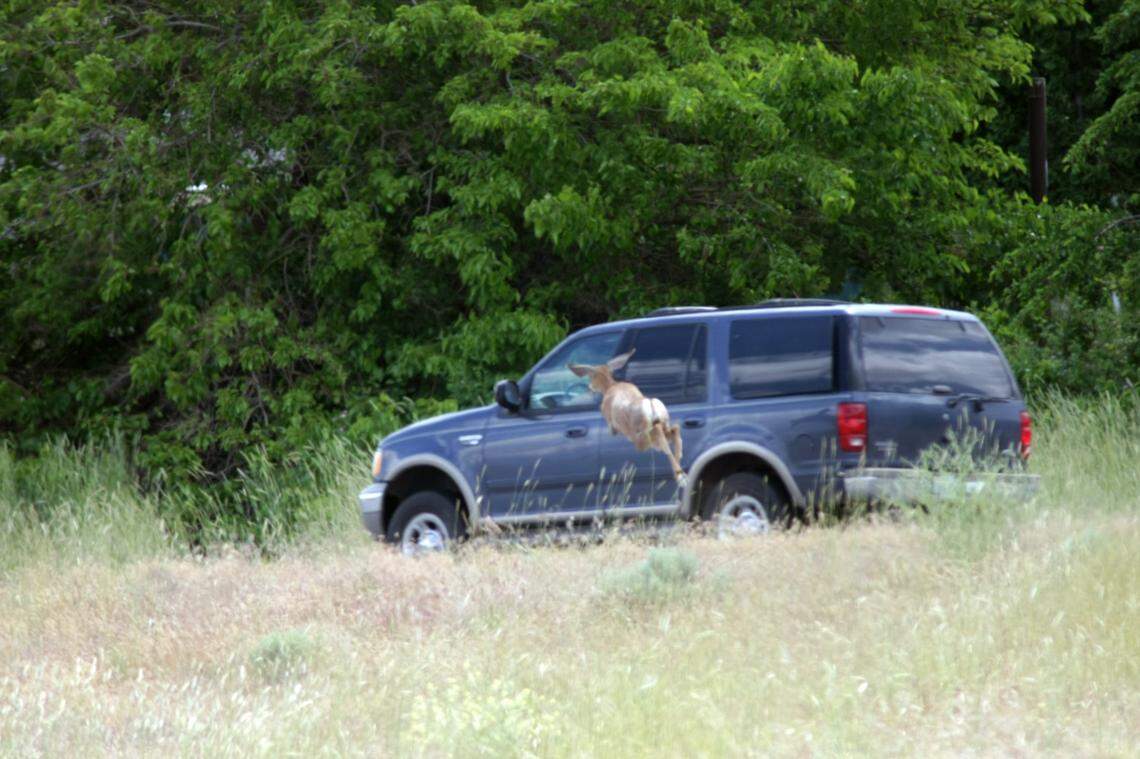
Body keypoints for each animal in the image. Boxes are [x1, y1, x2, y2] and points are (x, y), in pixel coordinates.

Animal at [568, 350, 688, 487]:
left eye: (591, 376)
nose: (589, 387)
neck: (611, 386)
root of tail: (650, 404)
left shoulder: (610, 423)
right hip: (662, 423)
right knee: (674, 430)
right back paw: (681, 470)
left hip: (641, 437)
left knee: (661, 441)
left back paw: (681, 478)